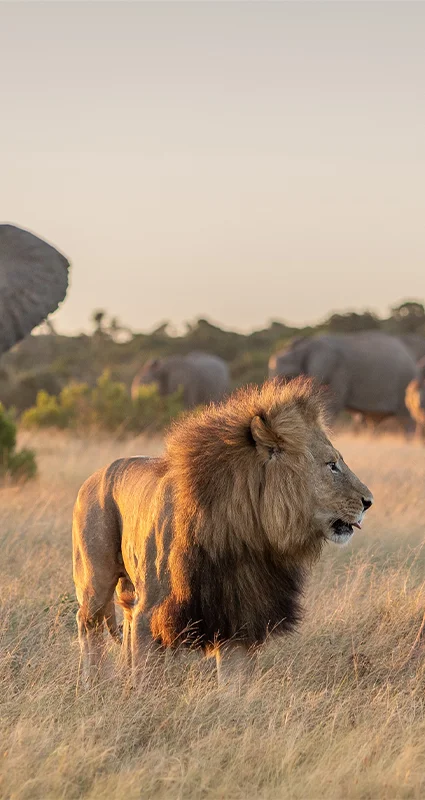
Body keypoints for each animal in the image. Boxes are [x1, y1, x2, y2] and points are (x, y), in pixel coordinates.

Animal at [72, 378, 373, 690]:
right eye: (332, 465)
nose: (369, 502)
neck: (244, 535)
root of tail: (94, 475)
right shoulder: (152, 612)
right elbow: (147, 675)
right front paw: (143, 698)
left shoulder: (238, 617)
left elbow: (235, 683)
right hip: (95, 579)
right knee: (89, 623)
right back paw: (91, 683)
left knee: (125, 621)